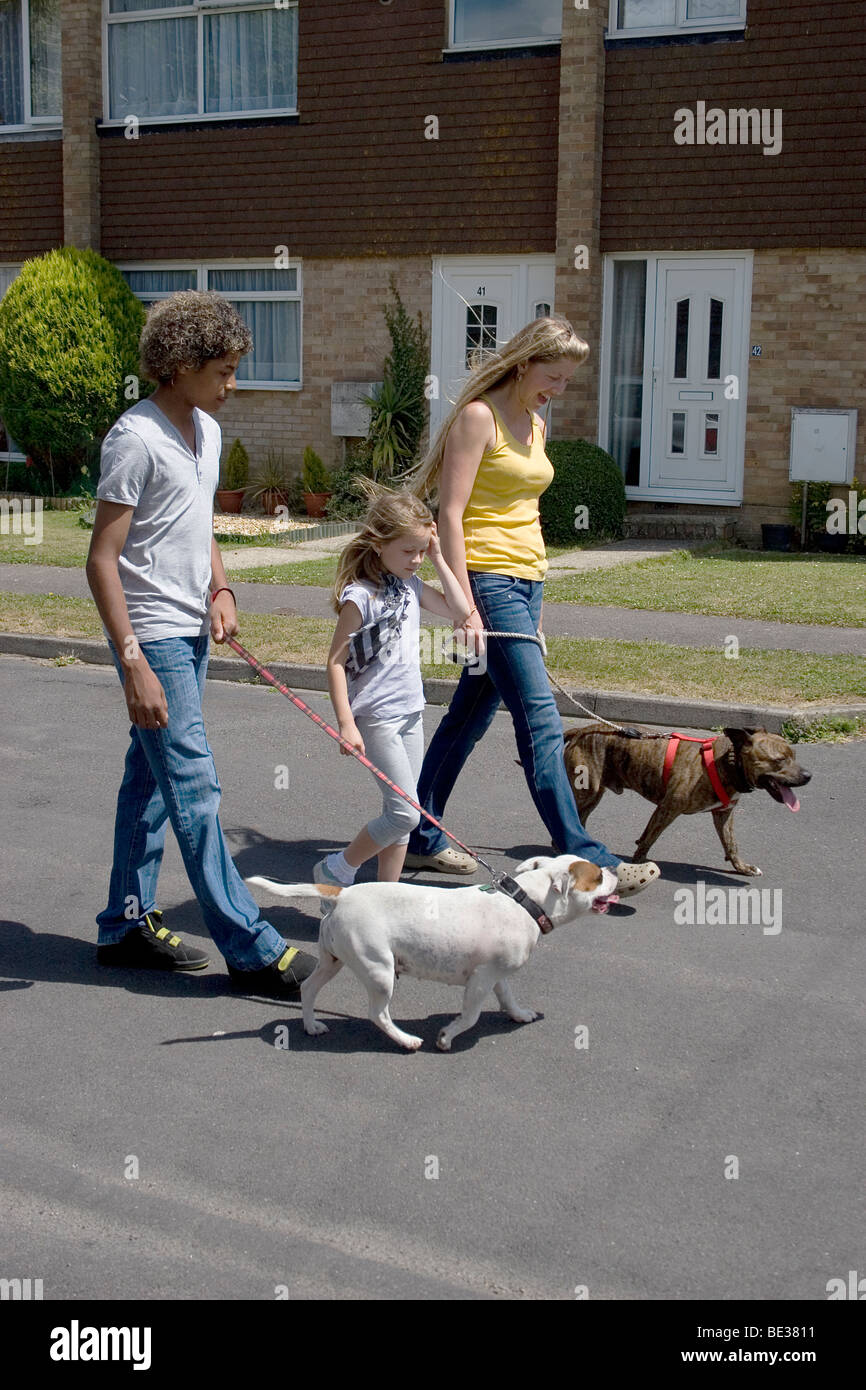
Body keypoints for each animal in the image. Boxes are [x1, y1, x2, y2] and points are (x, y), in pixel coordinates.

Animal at [247, 845, 619, 1050]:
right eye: (598, 877)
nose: (615, 870)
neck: (525, 900)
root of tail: (342, 894)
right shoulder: (480, 981)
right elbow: (469, 1017)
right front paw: (446, 1037)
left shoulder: (495, 974)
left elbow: (508, 996)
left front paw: (519, 1014)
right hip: (379, 969)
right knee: (378, 1014)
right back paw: (406, 1040)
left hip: (332, 959)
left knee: (309, 988)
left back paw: (311, 1026)